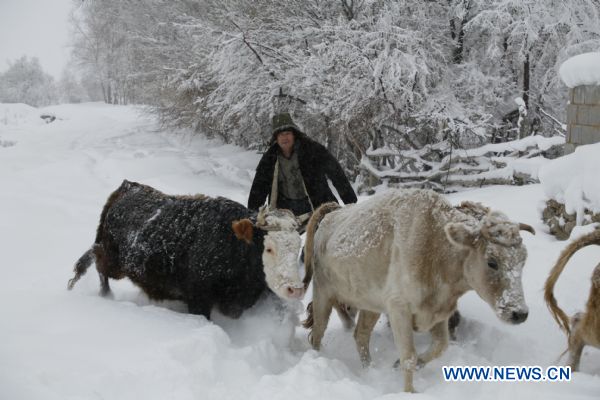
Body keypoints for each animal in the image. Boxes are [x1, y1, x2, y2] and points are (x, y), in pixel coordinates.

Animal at [67, 180, 304, 318]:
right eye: (269, 248)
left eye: (298, 247)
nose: (295, 289)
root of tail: (127, 187)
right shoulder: (199, 298)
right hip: (113, 259)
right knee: (98, 263)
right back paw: (103, 294)